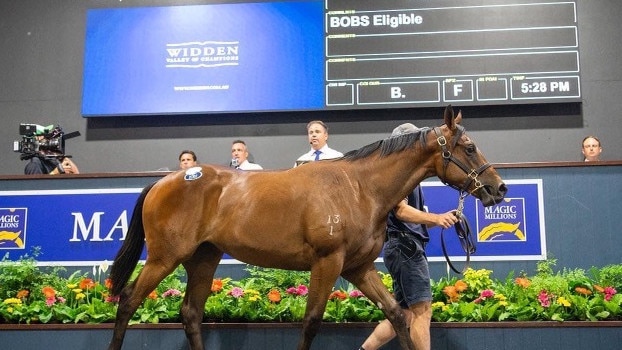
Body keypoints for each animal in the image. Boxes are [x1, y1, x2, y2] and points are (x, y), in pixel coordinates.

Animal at [107, 106, 508, 350]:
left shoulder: (358, 268)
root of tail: (165, 181)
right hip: (165, 257)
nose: (499, 188)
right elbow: (312, 321)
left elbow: (397, 315)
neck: (358, 187)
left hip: (203, 259)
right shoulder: (327, 263)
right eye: (469, 147)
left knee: (190, 313)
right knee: (128, 302)